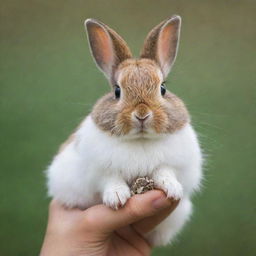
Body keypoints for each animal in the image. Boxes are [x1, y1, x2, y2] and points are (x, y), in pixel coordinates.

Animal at [45, 15, 202, 246]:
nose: (142, 114)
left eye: (163, 88)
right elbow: (110, 180)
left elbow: (165, 171)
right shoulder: (99, 170)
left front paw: (172, 189)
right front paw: (117, 198)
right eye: (117, 91)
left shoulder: (174, 164)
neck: (140, 140)